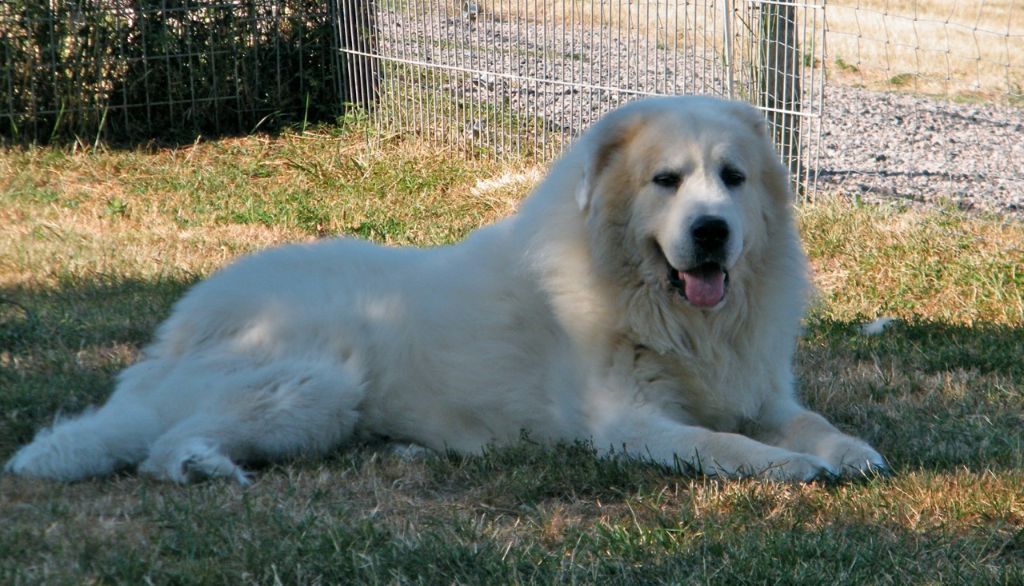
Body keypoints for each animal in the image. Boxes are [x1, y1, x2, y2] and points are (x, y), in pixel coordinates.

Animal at [6, 96, 888, 483]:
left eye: (732, 180)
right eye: (666, 181)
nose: (710, 232)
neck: (668, 315)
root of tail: (180, 324)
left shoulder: (759, 393)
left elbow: (809, 423)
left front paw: (851, 452)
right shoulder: (630, 427)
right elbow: (723, 446)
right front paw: (796, 470)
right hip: (315, 385)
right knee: (158, 448)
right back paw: (201, 470)